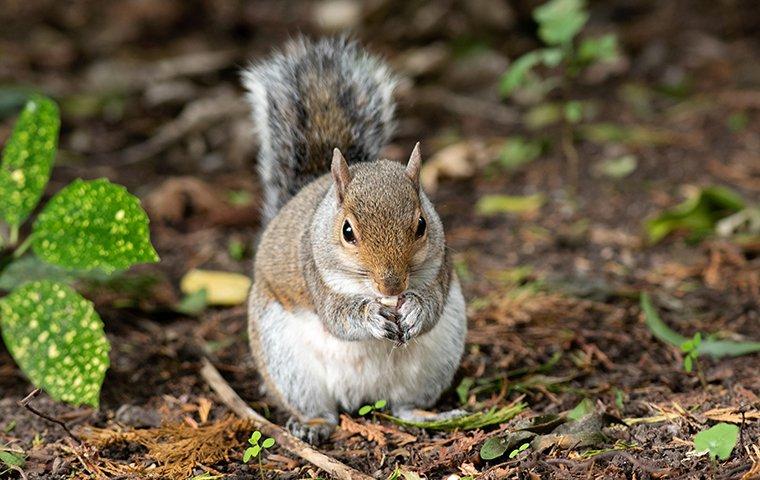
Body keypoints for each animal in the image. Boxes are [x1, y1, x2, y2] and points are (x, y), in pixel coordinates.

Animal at [243, 36, 470, 442]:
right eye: (347, 231)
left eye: (422, 225)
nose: (392, 286)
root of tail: (363, 396)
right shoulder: (313, 273)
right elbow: (338, 317)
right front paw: (370, 315)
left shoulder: (442, 268)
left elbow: (432, 305)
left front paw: (413, 309)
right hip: (285, 362)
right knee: (319, 408)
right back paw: (312, 426)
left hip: (437, 358)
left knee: (405, 405)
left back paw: (429, 416)